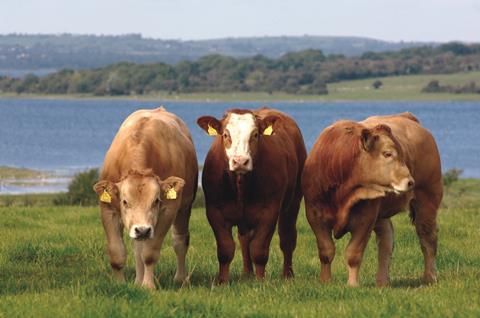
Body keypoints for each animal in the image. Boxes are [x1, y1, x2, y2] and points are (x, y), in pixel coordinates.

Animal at [93, 106, 198, 288]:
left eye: (156, 201)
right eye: (124, 201)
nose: (142, 230)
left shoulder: (168, 210)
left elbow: (149, 254)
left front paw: (148, 286)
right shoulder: (107, 208)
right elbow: (117, 253)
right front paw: (120, 285)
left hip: (184, 208)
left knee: (179, 241)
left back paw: (180, 278)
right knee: (137, 248)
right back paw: (137, 280)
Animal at [197, 107, 306, 284]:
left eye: (255, 134)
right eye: (226, 134)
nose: (240, 161)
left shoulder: (269, 212)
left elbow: (259, 249)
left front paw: (261, 280)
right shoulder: (215, 211)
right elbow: (225, 249)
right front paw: (222, 281)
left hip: (294, 201)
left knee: (287, 237)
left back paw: (287, 275)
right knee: (244, 240)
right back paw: (247, 273)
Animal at [304, 113, 442, 286]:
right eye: (387, 153)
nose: (410, 182)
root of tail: (408, 117)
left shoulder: (365, 219)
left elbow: (353, 254)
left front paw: (352, 285)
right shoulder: (315, 216)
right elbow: (326, 251)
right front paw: (325, 281)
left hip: (427, 201)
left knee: (427, 239)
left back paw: (430, 276)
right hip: (382, 214)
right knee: (386, 241)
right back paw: (382, 281)